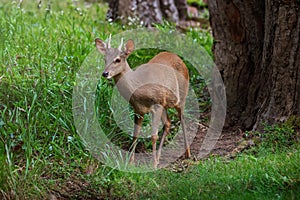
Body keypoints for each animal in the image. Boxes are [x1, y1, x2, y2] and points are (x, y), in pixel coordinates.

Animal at [95, 35, 191, 168]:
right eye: (105, 59)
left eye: (118, 60)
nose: (105, 73)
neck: (140, 86)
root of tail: (178, 57)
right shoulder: (138, 109)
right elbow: (135, 134)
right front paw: (131, 162)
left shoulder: (156, 105)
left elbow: (154, 135)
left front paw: (153, 164)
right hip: (164, 104)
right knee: (168, 123)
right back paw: (160, 156)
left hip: (181, 95)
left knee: (182, 118)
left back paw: (188, 154)